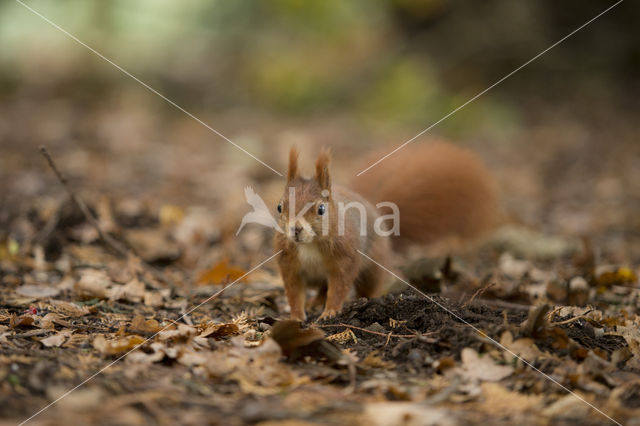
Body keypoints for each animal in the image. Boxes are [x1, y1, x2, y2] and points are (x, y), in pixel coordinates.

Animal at [272, 143, 498, 320]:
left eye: (321, 209)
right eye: (279, 207)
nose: (296, 229)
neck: (309, 245)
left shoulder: (346, 258)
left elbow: (339, 286)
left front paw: (330, 311)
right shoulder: (289, 263)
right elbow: (293, 292)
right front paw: (296, 316)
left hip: (373, 267)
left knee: (358, 287)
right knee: (321, 288)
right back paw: (314, 303)